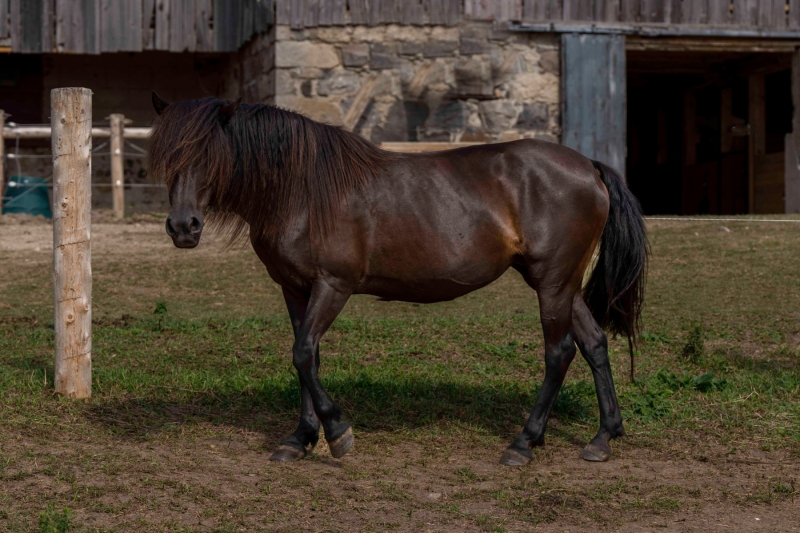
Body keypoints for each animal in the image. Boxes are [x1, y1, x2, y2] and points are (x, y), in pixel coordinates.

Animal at [147, 93, 648, 467]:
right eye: (167, 156)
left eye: (210, 154)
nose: (183, 227)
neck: (303, 190)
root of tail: (587, 166)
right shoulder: (294, 289)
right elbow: (306, 358)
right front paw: (300, 439)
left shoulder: (333, 285)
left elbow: (304, 354)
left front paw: (337, 433)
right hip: (560, 283)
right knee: (594, 342)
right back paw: (604, 437)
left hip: (552, 282)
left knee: (559, 352)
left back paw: (524, 443)